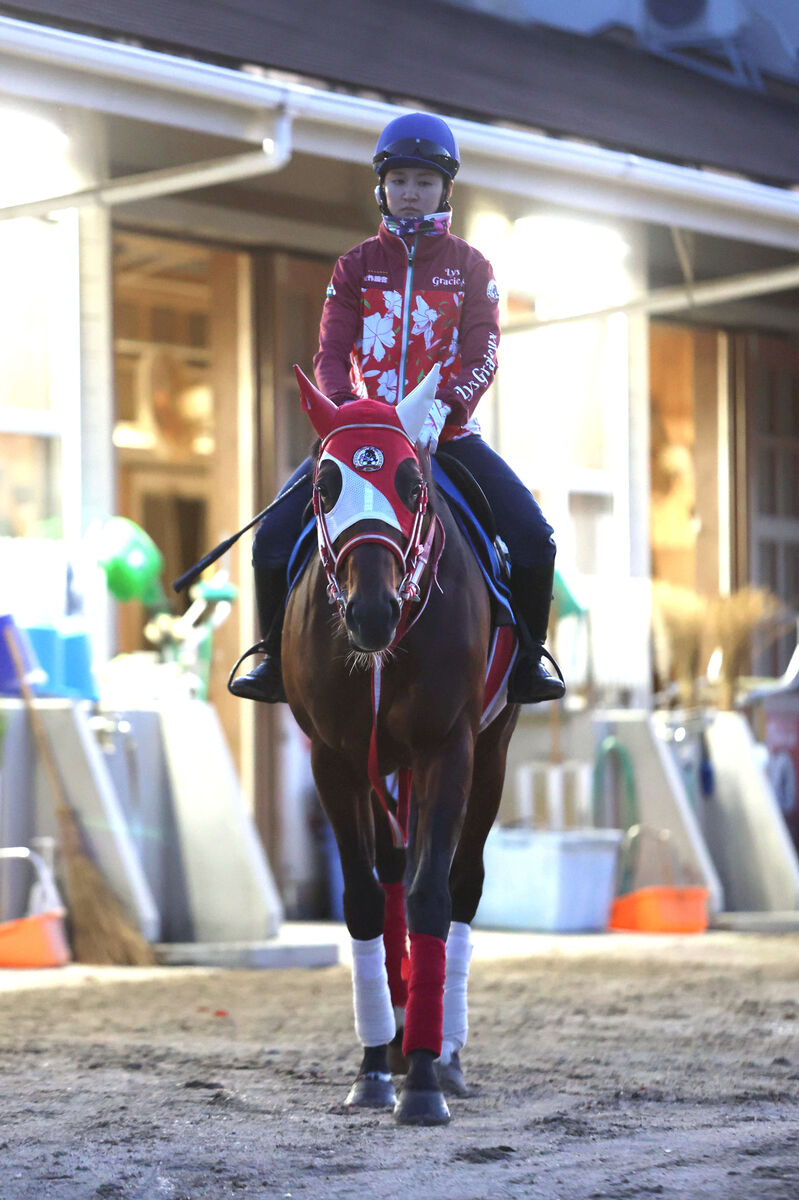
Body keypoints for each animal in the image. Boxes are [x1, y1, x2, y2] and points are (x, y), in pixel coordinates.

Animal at [283, 362, 520, 1123]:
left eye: (412, 483)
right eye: (325, 483)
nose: (371, 612)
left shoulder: (449, 748)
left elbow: (430, 897)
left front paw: (420, 1078)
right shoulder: (332, 758)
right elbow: (364, 900)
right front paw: (374, 1067)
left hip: (489, 753)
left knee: (462, 884)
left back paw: (443, 1051)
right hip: (381, 766)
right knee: (388, 875)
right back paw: (390, 1036)